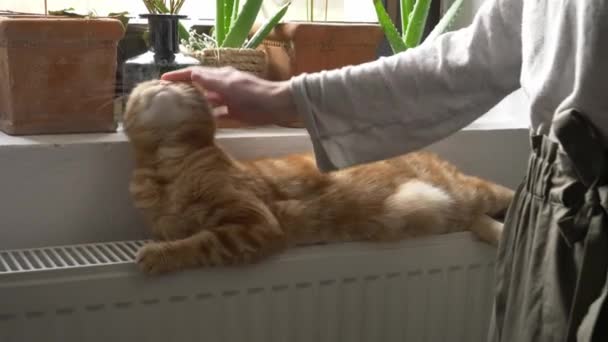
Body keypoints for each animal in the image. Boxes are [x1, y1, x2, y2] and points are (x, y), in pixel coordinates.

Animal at [123, 79, 512, 276]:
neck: (167, 168)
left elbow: (200, 243)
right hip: (456, 214)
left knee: (508, 194)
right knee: (484, 221)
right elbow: (189, 235)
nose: (161, 81)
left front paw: (158, 255)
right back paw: (502, 233)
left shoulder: (253, 224)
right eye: (146, 85)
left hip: (476, 191)